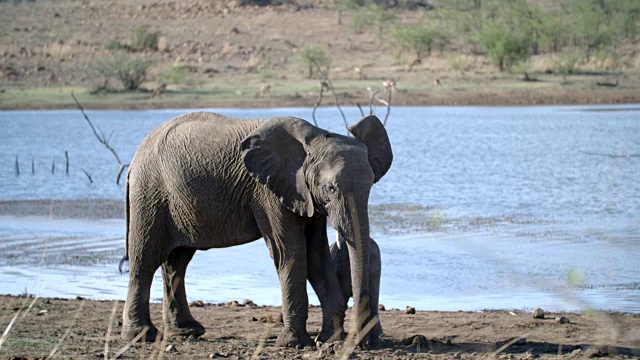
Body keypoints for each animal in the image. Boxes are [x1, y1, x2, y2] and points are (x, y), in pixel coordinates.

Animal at [117, 112, 392, 348]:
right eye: (331, 189)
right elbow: (291, 253)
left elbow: (317, 257)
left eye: (371, 185)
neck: (313, 140)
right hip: (150, 193)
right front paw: (294, 344)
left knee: (177, 263)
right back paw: (142, 336)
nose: (362, 343)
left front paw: (328, 341)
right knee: (145, 259)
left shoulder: (305, 197)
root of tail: (135, 158)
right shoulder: (268, 192)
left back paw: (186, 331)